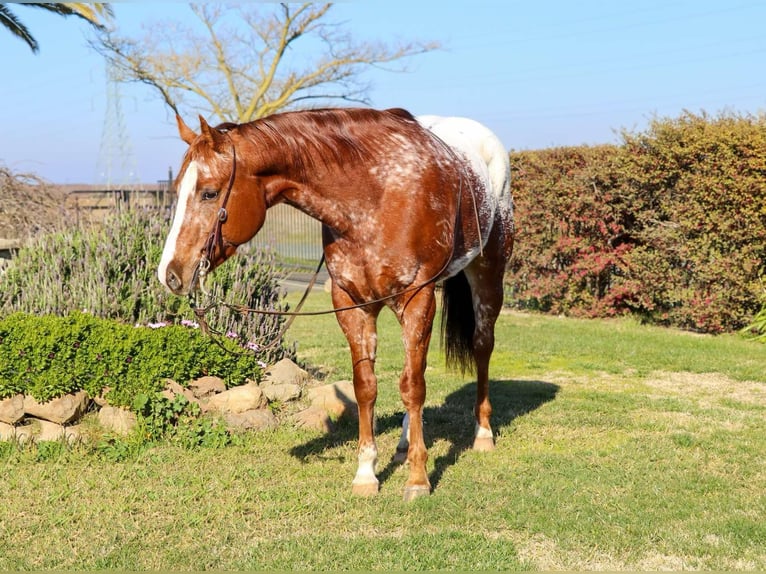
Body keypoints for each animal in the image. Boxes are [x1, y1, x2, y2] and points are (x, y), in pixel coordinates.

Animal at [158, 109, 512, 504]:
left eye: (209, 192)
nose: (170, 273)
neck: (375, 197)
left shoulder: (417, 299)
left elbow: (413, 387)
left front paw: (418, 479)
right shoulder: (351, 304)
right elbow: (368, 386)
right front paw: (366, 473)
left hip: (487, 274)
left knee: (480, 347)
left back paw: (482, 434)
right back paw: (404, 443)